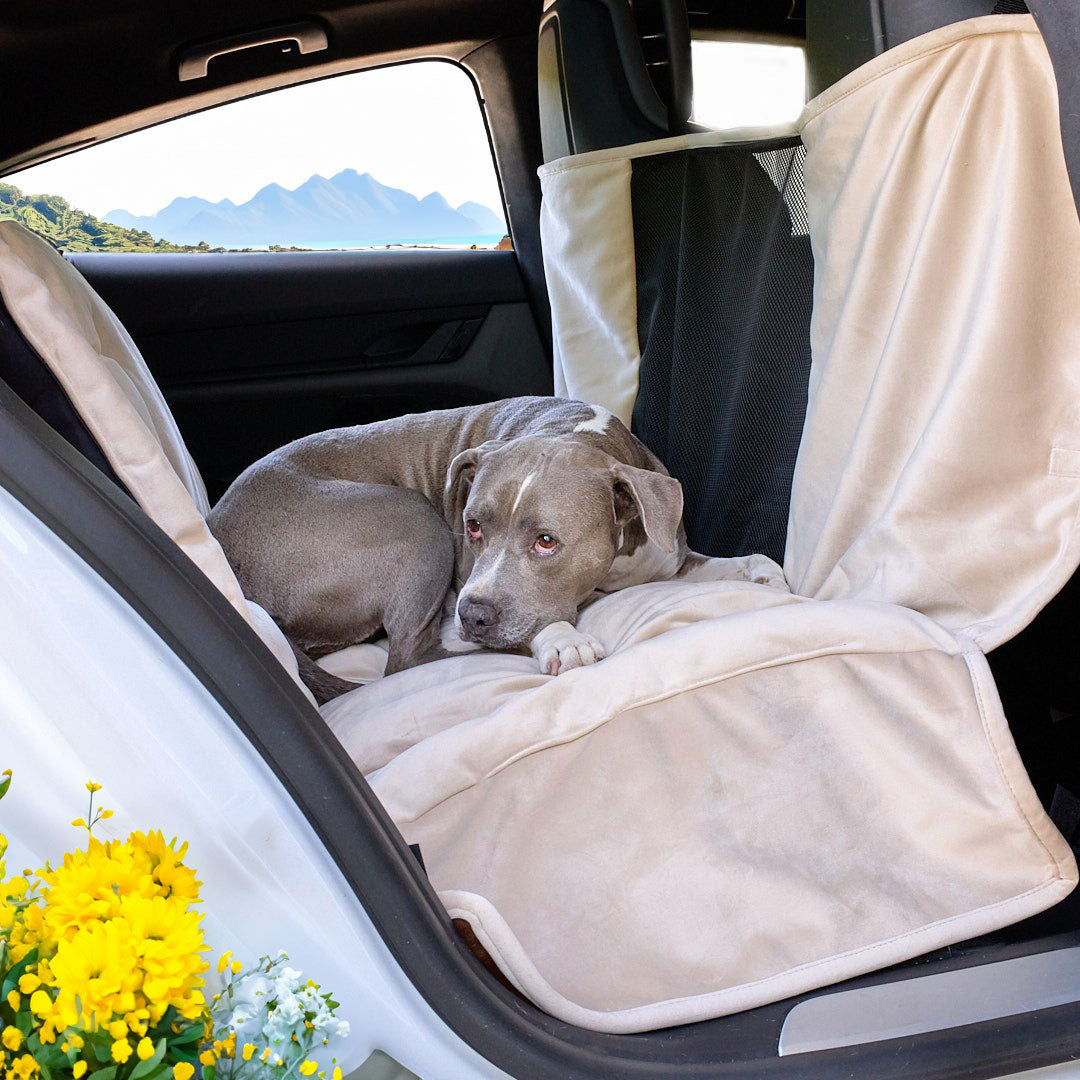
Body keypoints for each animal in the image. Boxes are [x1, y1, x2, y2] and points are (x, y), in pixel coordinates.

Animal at [210, 397, 786, 699]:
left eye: (547, 541)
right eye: (473, 526)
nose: (472, 614)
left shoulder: (667, 557)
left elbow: (724, 565)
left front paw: (763, 573)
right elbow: (538, 622)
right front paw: (563, 640)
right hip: (413, 521)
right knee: (405, 658)